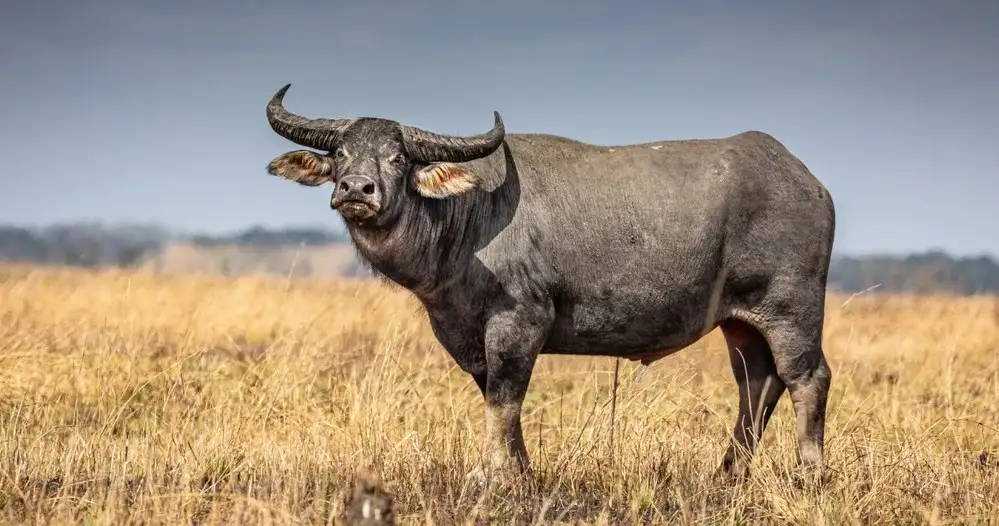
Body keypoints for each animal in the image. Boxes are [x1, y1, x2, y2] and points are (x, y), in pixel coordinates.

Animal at [264, 83, 836, 486]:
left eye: (399, 157)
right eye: (341, 153)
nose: (356, 189)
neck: (469, 219)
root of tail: (810, 184)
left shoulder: (520, 323)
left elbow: (505, 400)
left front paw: (492, 477)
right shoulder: (470, 337)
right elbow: (498, 400)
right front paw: (521, 473)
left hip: (791, 309)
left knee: (807, 377)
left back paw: (809, 473)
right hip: (740, 324)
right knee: (757, 383)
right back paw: (728, 473)